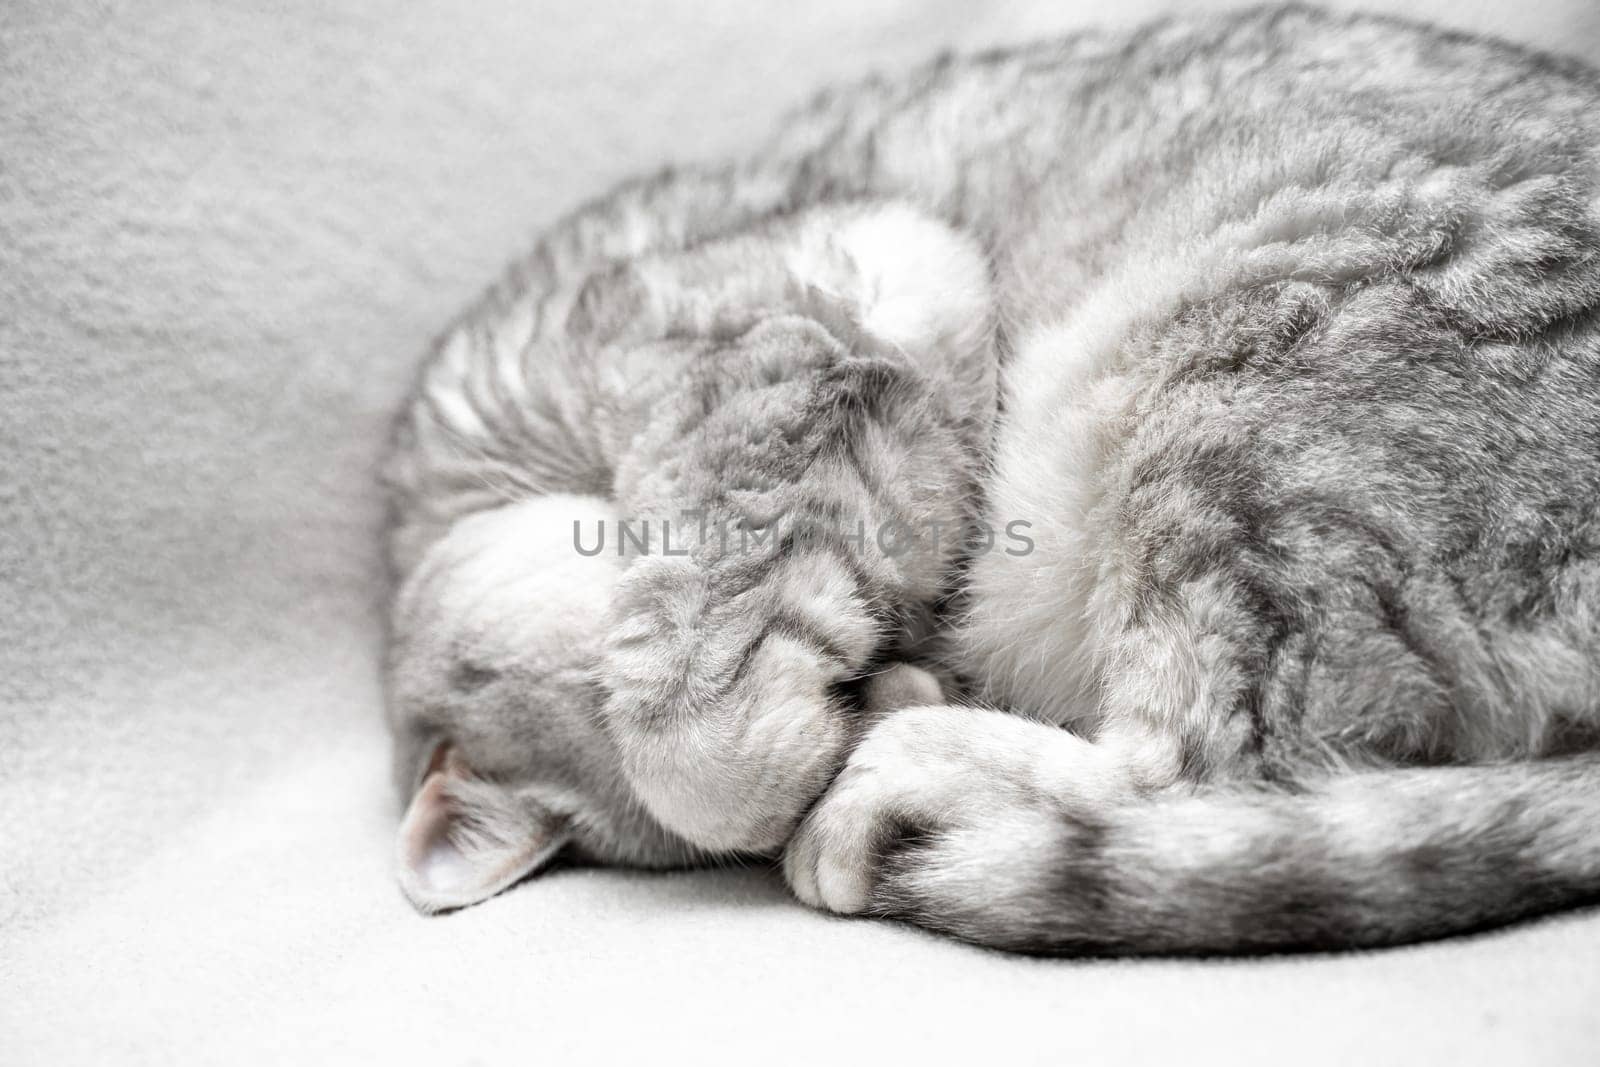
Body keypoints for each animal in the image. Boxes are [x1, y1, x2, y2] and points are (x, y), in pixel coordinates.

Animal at [377, 6, 1600, 959]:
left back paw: (905, 783)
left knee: (1204, 773)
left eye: (854, 673)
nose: (893, 672)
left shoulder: (840, 297)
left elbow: (697, 735)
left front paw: (817, 743)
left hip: (1235, 408)